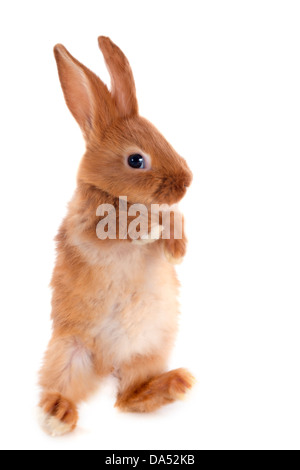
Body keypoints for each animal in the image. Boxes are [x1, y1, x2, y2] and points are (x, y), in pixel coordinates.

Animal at [38, 36, 193, 436]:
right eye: (136, 160)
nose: (186, 183)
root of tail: (108, 366)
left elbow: (174, 222)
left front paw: (175, 249)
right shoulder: (86, 226)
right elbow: (114, 232)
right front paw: (145, 228)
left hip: (150, 351)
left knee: (128, 398)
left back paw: (176, 383)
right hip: (67, 353)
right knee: (65, 388)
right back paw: (57, 416)